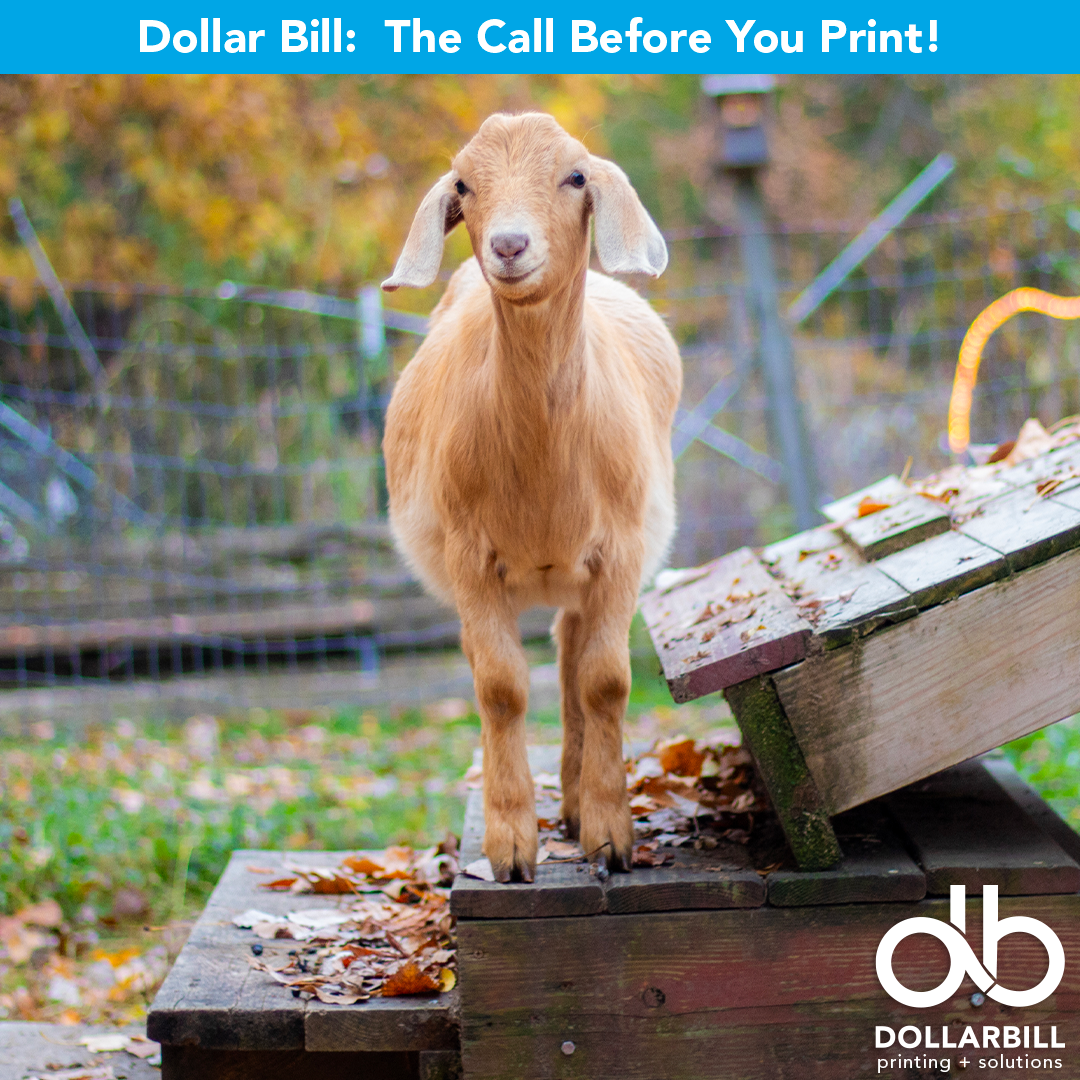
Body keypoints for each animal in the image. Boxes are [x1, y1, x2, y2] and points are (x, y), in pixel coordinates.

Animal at [382, 113, 682, 881]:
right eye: (463, 185)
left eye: (575, 176)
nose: (509, 245)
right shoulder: (469, 556)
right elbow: (501, 688)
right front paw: (512, 847)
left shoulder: (622, 548)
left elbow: (604, 682)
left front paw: (610, 836)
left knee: (573, 656)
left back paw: (575, 805)